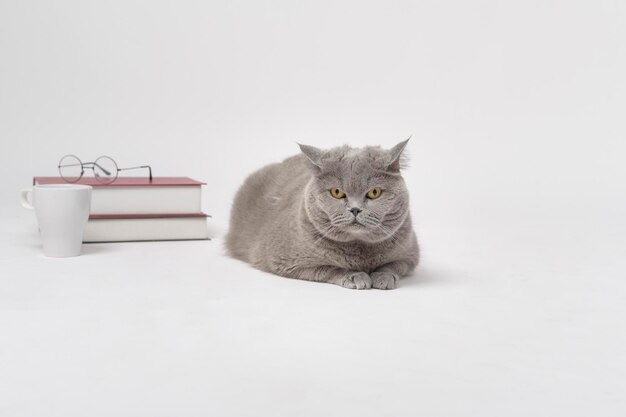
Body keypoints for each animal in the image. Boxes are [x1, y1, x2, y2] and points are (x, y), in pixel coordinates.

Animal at [222, 140, 416, 290]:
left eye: (374, 192)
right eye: (337, 192)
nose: (355, 209)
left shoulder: (411, 254)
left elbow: (394, 265)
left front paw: (383, 277)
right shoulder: (285, 261)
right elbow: (328, 269)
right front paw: (356, 276)